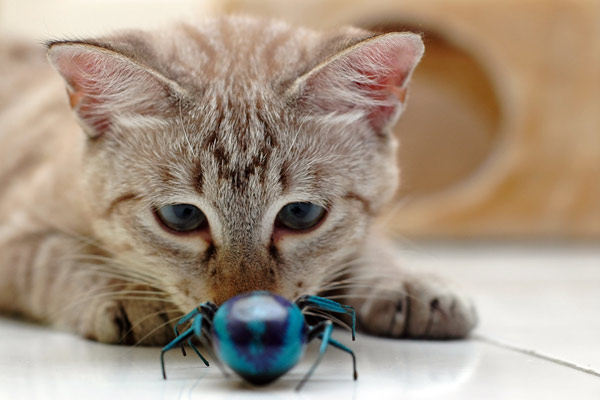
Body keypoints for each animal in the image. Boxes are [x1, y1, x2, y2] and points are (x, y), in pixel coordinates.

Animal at [1, 16, 478, 344]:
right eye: (181, 216)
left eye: (301, 214)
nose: (247, 311)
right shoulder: (16, 238)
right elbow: (62, 255)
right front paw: (136, 296)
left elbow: (365, 244)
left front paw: (406, 284)